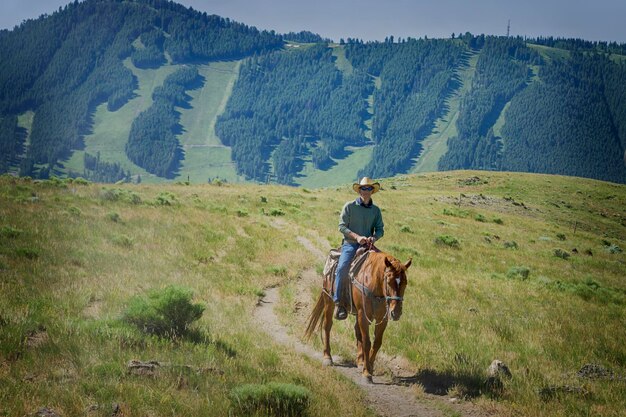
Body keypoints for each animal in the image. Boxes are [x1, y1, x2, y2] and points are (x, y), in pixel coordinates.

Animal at [304, 249, 410, 382]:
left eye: (405, 283)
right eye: (389, 280)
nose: (396, 313)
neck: (373, 282)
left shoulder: (382, 318)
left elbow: (376, 343)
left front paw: (369, 366)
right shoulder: (363, 315)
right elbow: (367, 342)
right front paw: (366, 373)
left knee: (357, 331)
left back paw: (360, 362)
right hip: (329, 300)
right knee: (327, 326)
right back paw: (327, 357)